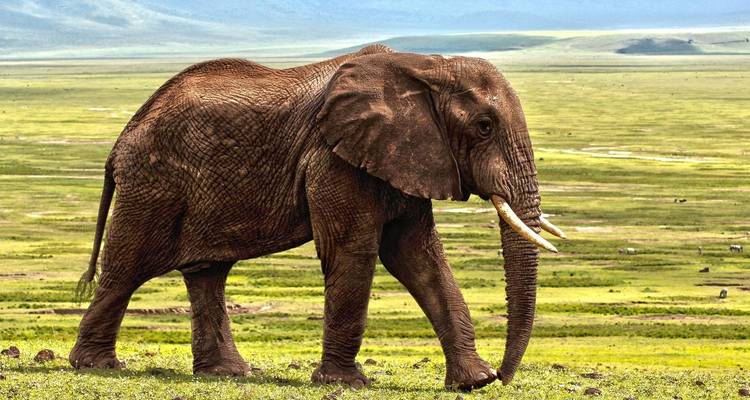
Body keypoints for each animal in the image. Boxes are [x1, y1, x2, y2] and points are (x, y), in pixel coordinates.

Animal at [69, 44, 565, 390]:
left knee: (207, 272)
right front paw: (347, 384)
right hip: (153, 182)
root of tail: (122, 138)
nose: (504, 376)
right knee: (127, 267)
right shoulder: (333, 158)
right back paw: (96, 366)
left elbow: (419, 257)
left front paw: (472, 383)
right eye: (484, 126)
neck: (424, 66)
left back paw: (227, 374)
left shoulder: (404, 157)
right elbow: (355, 251)